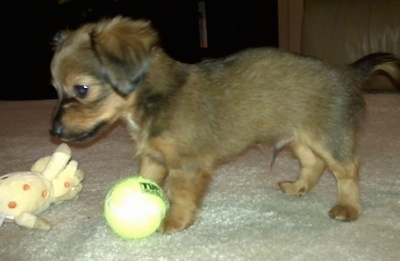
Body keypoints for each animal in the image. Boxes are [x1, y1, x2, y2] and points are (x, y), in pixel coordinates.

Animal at [50, 16, 400, 232]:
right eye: (55, 89)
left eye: (82, 89)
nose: (53, 132)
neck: (153, 98)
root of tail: (347, 73)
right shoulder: (154, 157)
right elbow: (146, 180)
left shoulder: (186, 165)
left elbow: (179, 194)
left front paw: (174, 222)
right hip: (300, 137)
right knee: (314, 164)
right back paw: (298, 187)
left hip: (328, 137)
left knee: (347, 171)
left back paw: (349, 207)